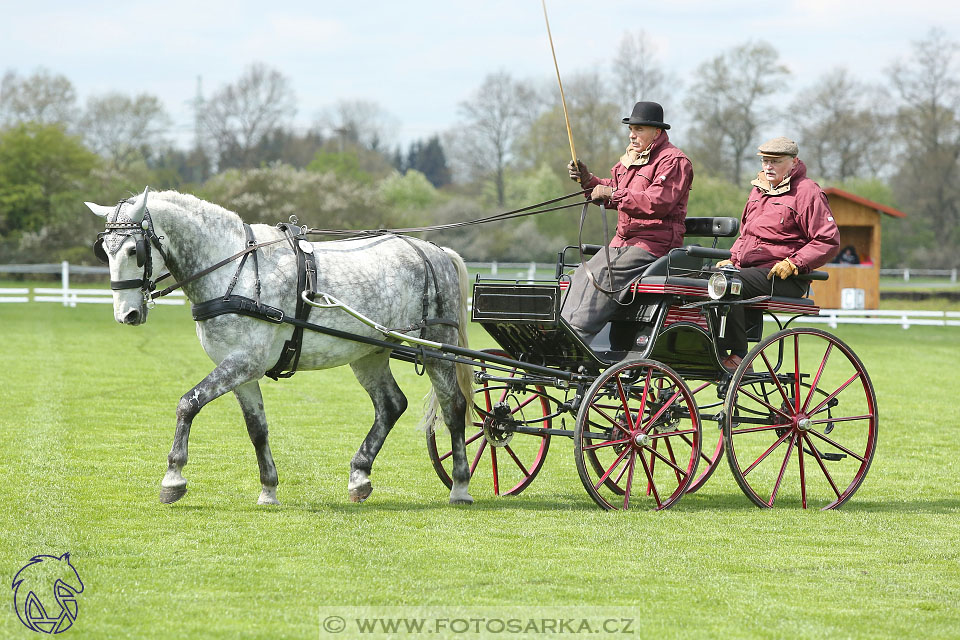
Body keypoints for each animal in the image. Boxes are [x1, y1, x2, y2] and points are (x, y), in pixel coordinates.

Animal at [84, 189, 474, 504]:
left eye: (134, 250)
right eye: (104, 251)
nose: (126, 314)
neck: (233, 268)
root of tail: (435, 251)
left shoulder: (242, 363)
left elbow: (187, 404)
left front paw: (173, 477)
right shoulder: (241, 370)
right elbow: (257, 428)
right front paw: (268, 489)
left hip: (437, 348)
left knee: (454, 408)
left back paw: (460, 486)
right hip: (370, 352)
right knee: (391, 405)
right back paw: (359, 476)